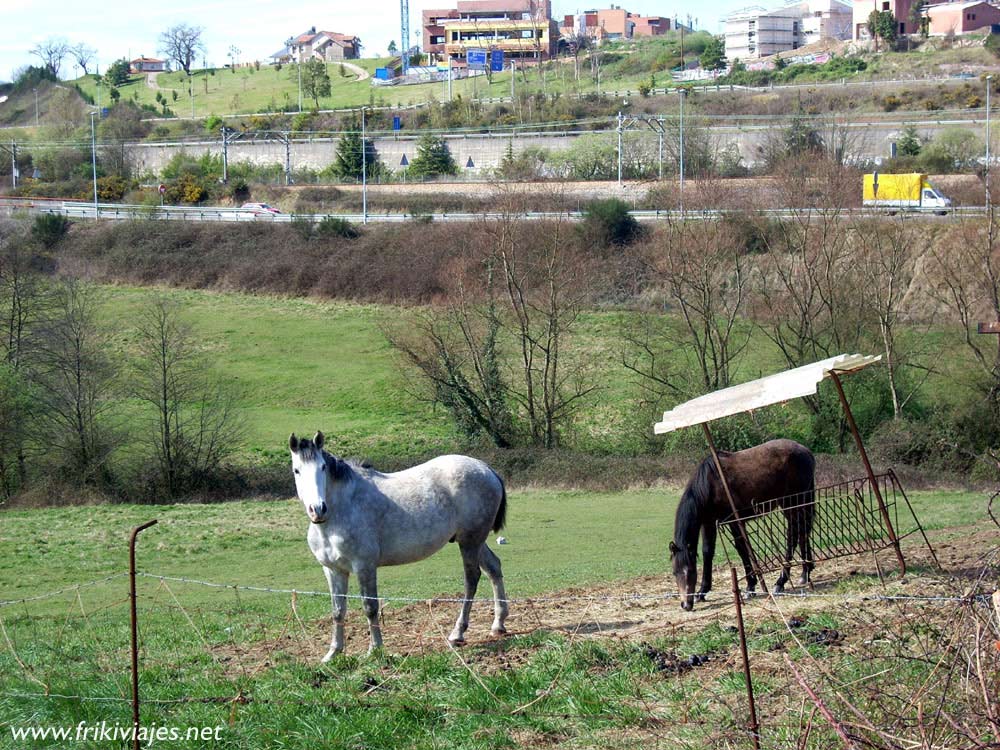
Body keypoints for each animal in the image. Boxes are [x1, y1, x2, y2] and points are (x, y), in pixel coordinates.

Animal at [288, 432, 508, 660]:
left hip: (469, 542)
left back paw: (457, 633)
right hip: (475, 542)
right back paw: (498, 624)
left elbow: (370, 606)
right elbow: (338, 610)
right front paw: (333, 653)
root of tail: (486, 469)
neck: (341, 509)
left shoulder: (364, 566)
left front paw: (375, 649)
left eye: (323, 467)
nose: (317, 509)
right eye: (297, 470)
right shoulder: (333, 570)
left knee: (472, 579)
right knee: (493, 568)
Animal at [668, 440, 816, 612]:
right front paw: (703, 591)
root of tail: (805, 451)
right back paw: (805, 572)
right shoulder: (708, 522)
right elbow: (707, 552)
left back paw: (781, 581)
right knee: (802, 531)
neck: (711, 483)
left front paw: (750, 586)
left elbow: (742, 549)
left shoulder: (734, 521)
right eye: (674, 572)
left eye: (691, 571)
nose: (686, 604)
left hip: (790, 502)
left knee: (794, 534)